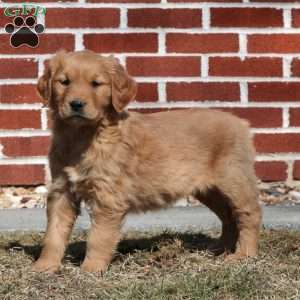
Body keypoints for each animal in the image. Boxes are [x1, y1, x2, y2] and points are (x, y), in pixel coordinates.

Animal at [32, 50, 262, 274]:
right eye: (64, 82)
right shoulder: (62, 190)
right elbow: (54, 233)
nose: (76, 104)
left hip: (234, 180)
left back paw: (244, 254)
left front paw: (91, 269)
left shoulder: (108, 197)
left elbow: (98, 237)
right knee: (228, 217)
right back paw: (220, 248)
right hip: (209, 190)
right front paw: (45, 266)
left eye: (96, 84)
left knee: (248, 214)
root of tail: (241, 122)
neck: (82, 135)